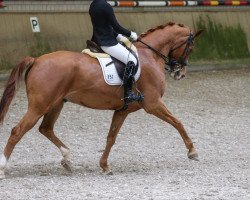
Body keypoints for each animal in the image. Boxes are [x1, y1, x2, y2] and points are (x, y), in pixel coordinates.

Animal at [0, 22, 201, 178]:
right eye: (190, 47)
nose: (180, 74)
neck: (149, 56)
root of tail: (37, 60)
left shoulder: (123, 110)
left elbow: (111, 137)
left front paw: (104, 166)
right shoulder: (153, 104)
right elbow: (178, 122)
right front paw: (192, 151)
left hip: (56, 104)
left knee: (46, 128)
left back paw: (67, 159)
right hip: (40, 105)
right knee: (18, 131)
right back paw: (3, 168)